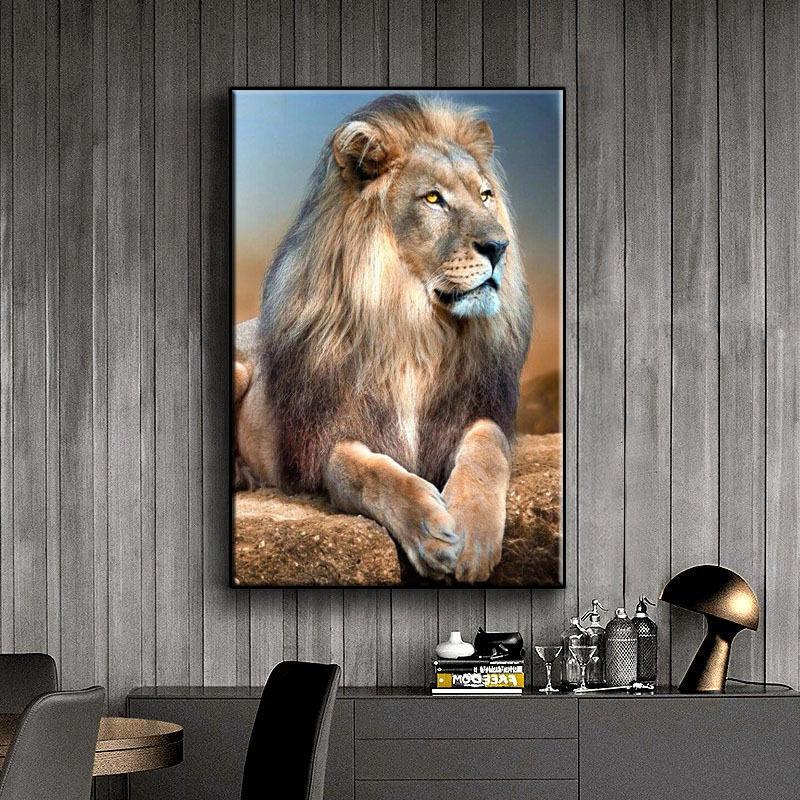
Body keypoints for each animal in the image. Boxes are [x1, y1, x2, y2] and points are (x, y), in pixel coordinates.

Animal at [235, 94, 532, 583]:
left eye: (485, 195)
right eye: (433, 198)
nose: (499, 246)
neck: (416, 329)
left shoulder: (475, 409)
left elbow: (488, 448)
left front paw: (472, 535)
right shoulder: (331, 437)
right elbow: (366, 472)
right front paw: (430, 531)